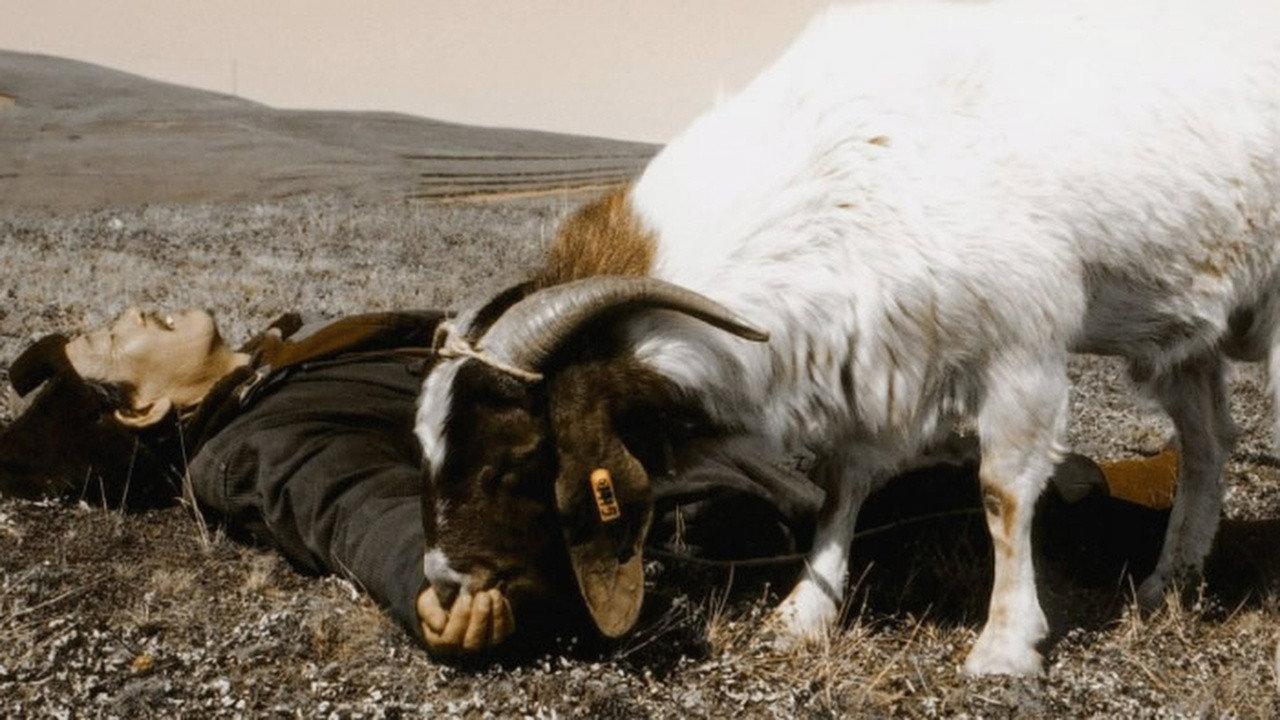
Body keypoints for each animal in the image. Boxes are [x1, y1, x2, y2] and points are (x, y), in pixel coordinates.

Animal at [416, 0, 1280, 675]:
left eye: (513, 460)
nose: (443, 585)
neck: (850, 158)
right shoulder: (874, 350)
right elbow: (844, 483)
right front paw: (806, 610)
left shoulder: (1023, 340)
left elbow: (1003, 492)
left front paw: (1004, 646)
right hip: (1187, 333)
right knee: (1207, 445)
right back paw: (1169, 583)